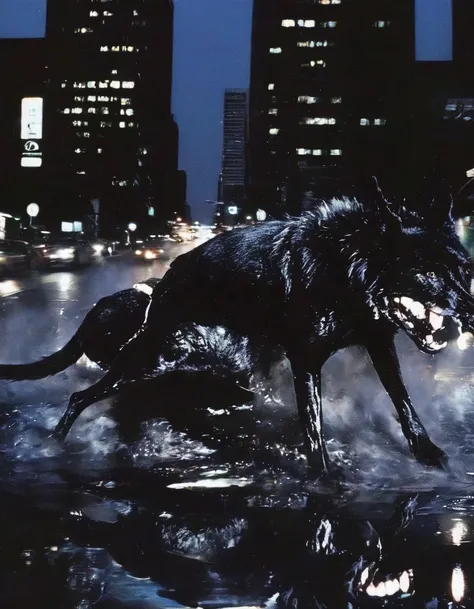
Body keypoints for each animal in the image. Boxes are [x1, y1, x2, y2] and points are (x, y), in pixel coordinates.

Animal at [51, 178, 474, 478]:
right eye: (427, 272)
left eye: (465, 270)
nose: (471, 313)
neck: (343, 268)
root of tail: (165, 281)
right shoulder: (306, 361)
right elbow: (314, 430)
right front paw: (325, 480)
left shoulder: (379, 342)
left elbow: (402, 400)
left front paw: (427, 451)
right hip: (152, 360)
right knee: (81, 396)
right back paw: (55, 442)